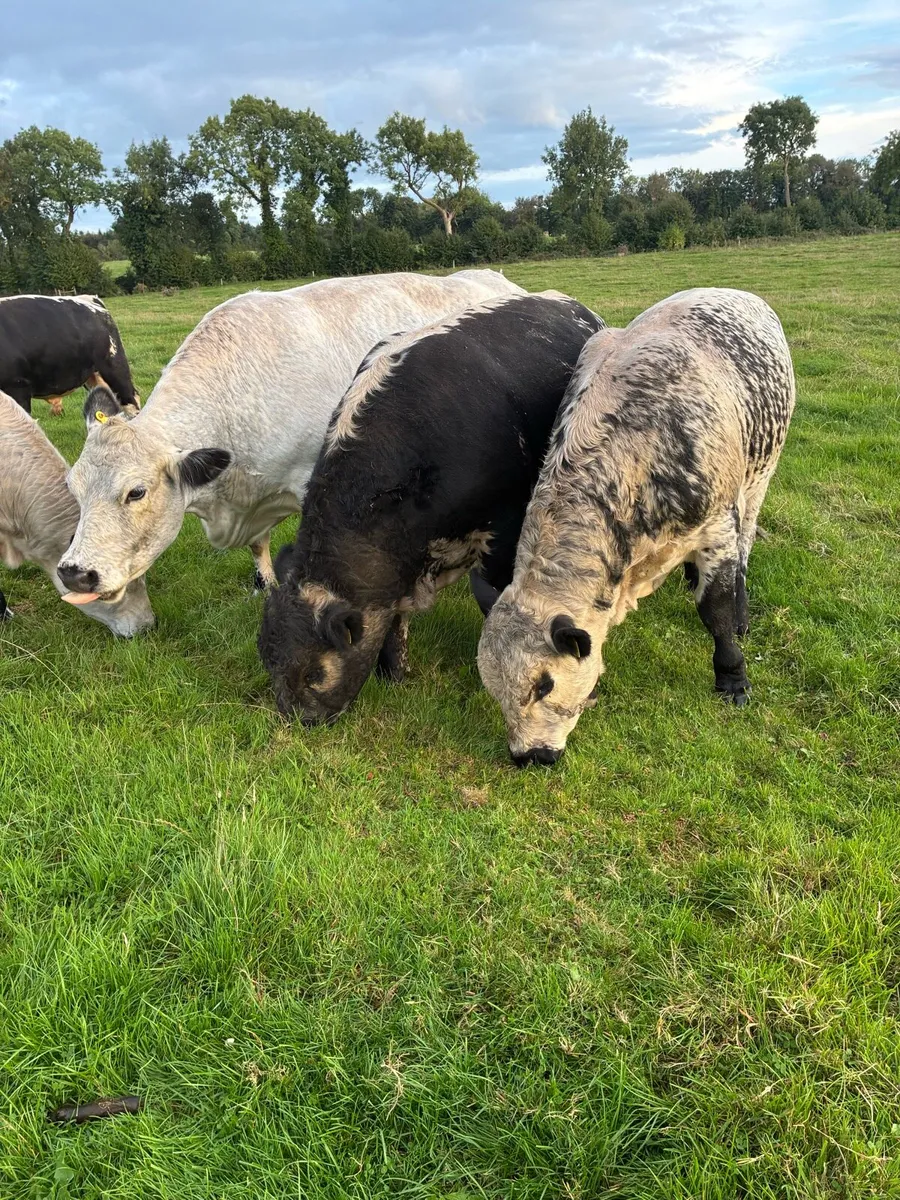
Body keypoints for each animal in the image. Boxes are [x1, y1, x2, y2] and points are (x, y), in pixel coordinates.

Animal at [257, 291, 605, 722]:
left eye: (313, 673)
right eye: (268, 659)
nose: (298, 720)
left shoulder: (505, 534)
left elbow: (495, 602)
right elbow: (393, 622)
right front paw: (395, 675)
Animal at [477, 288, 796, 766]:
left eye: (544, 684)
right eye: (493, 689)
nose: (529, 756)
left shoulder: (718, 526)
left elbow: (716, 609)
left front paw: (732, 675)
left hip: (759, 476)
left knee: (745, 548)